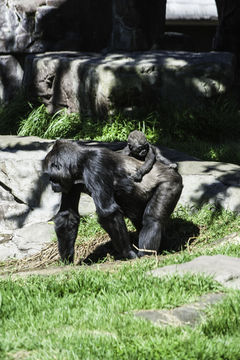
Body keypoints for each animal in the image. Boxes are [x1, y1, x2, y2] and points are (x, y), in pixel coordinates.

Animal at [43, 140, 183, 262]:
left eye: (52, 177)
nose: (51, 184)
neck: (80, 161)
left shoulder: (96, 164)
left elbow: (108, 213)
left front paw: (128, 253)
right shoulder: (70, 182)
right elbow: (68, 215)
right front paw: (66, 259)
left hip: (172, 182)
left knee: (152, 220)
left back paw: (147, 254)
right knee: (138, 218)